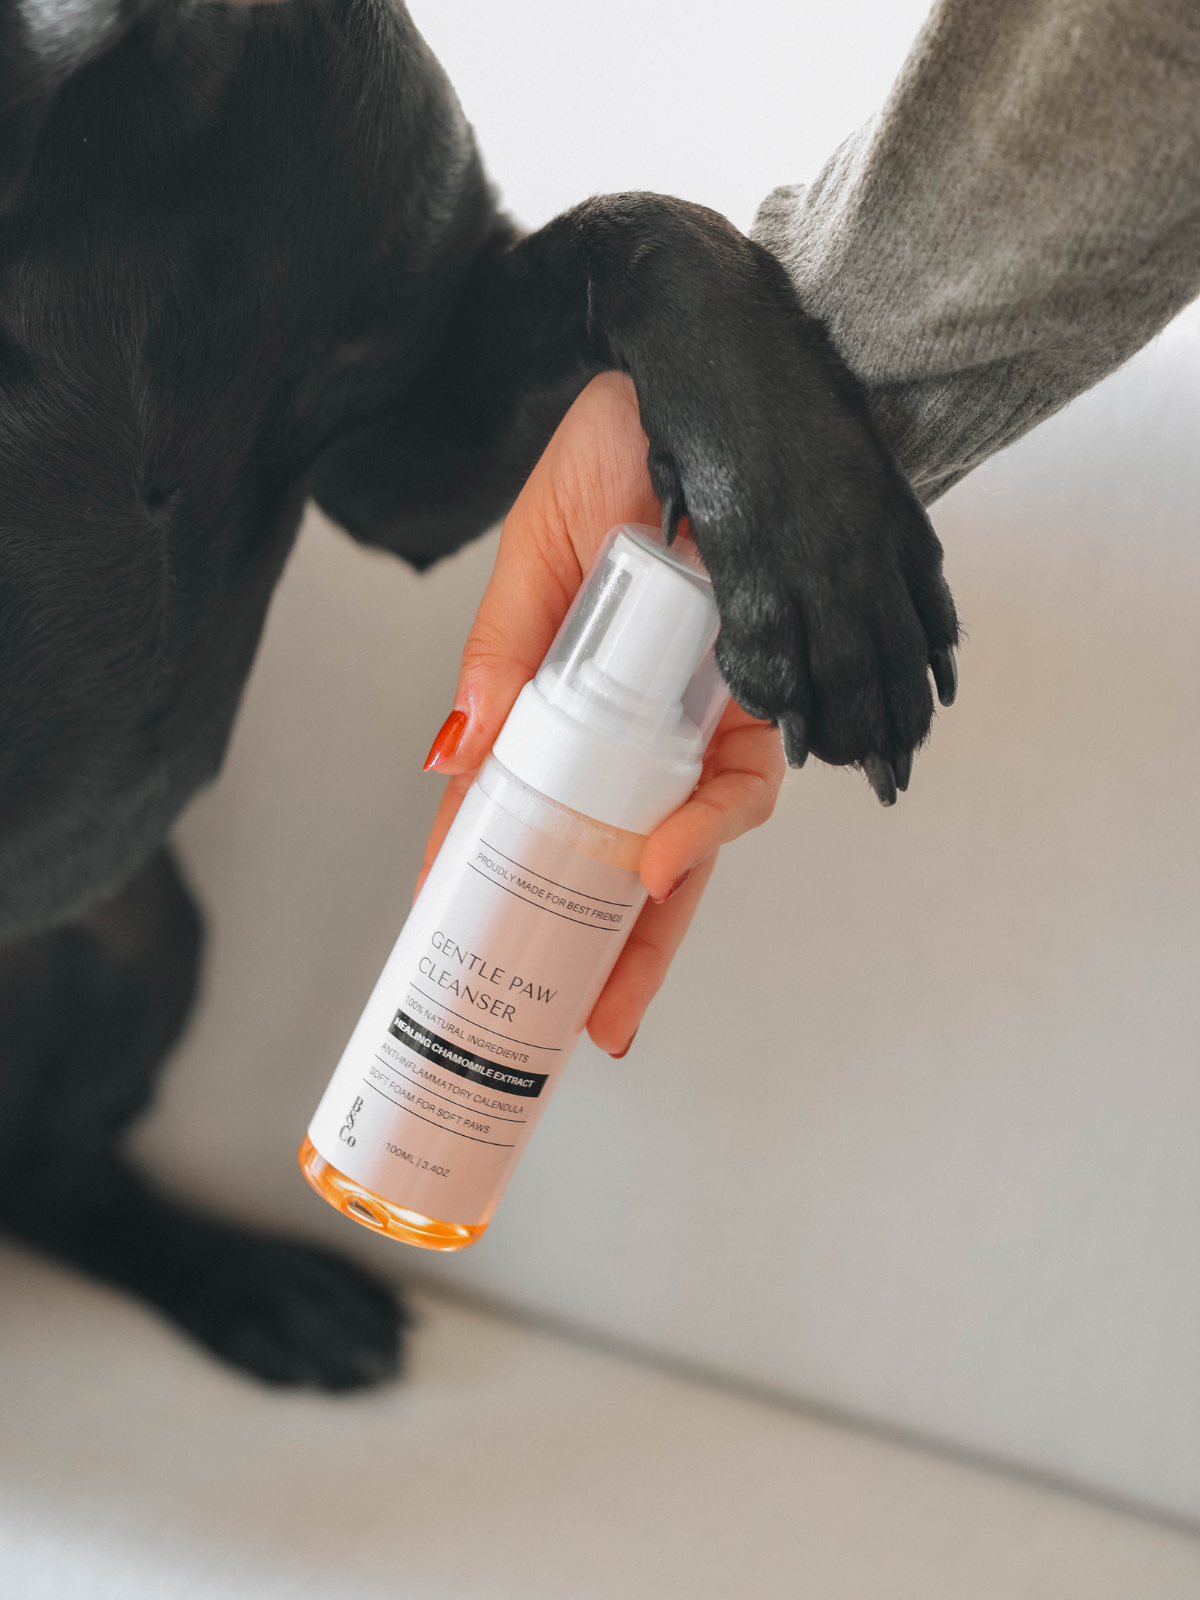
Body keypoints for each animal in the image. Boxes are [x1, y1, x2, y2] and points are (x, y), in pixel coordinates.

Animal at [0, 0, 958, 1388]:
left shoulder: (413, 451)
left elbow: (644, 222)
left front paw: (814, 532)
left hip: (145, 933)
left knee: (50, 1178)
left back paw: (259, 1291)